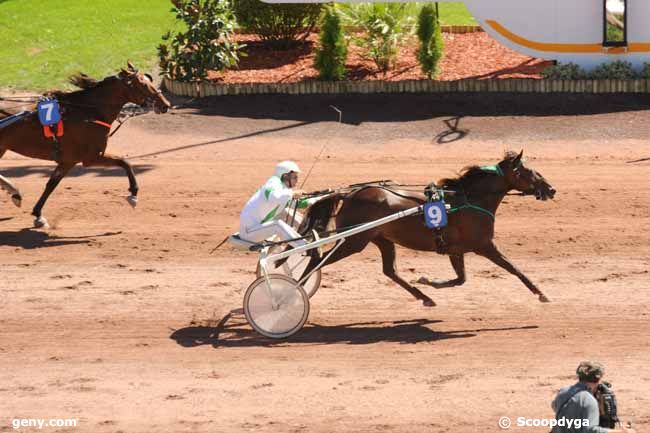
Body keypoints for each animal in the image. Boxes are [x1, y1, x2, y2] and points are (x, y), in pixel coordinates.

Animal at [0, 62, 170, 230]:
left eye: (149, 79)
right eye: (142, 84)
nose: (165, 105)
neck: (88, 112)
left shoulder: (68, 161)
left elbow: (51, 184)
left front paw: (38, 215)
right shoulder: (90, 157)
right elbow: (124, 161)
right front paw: (133, 195)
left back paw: (15, 192)